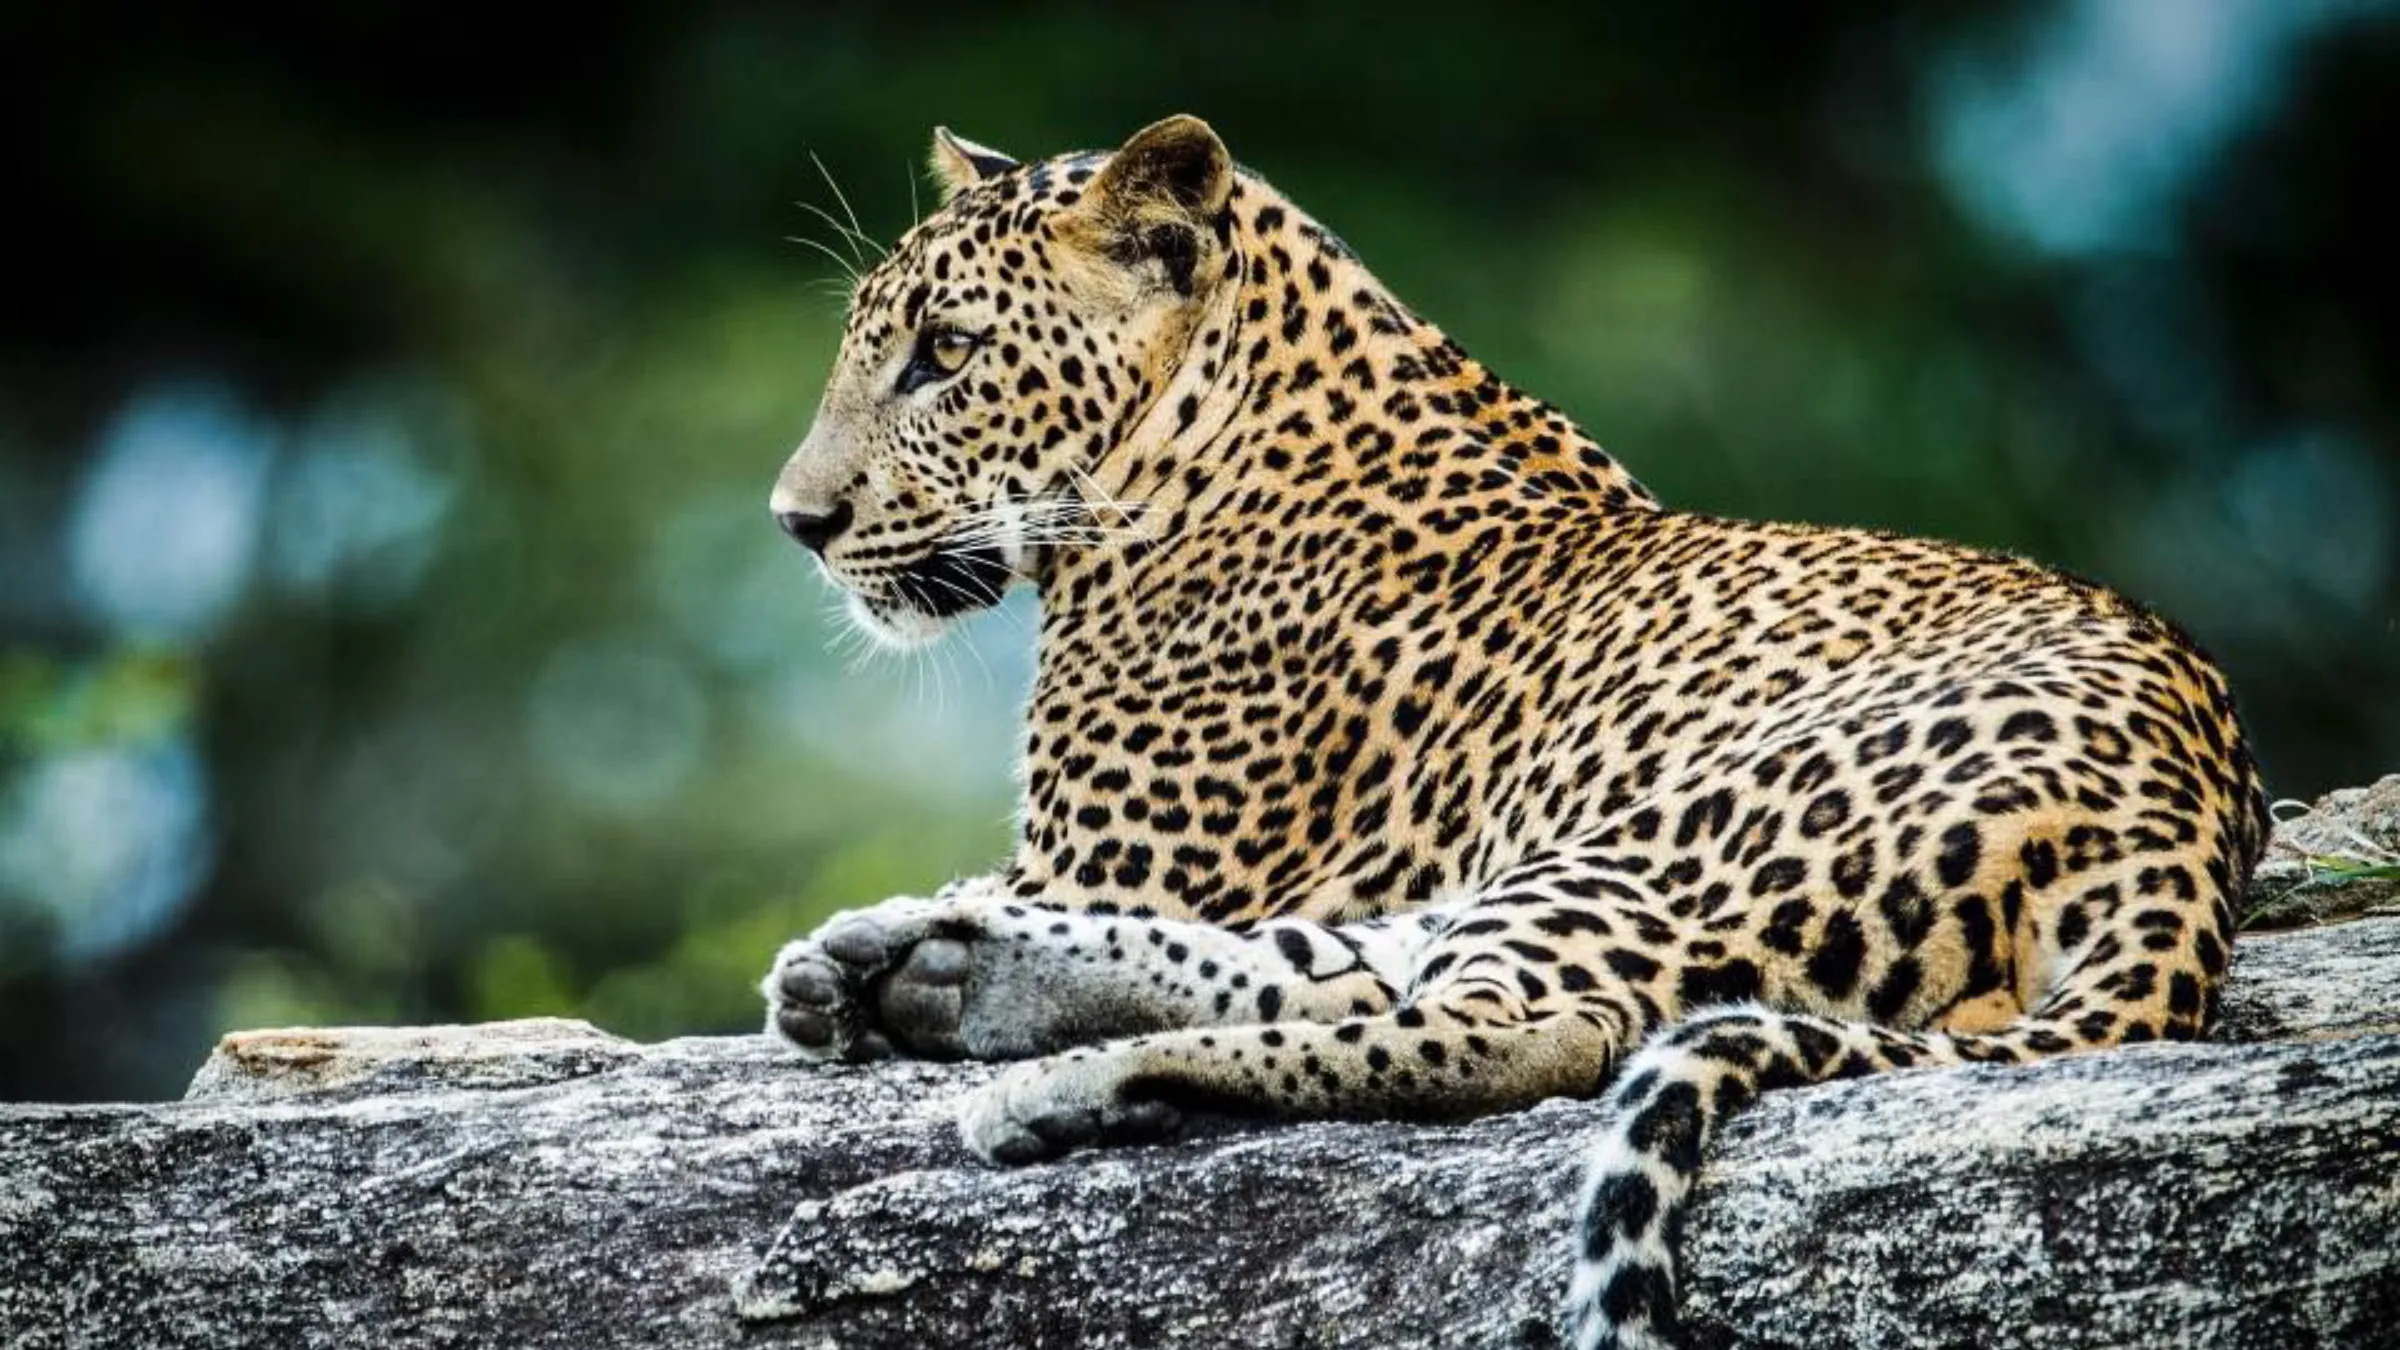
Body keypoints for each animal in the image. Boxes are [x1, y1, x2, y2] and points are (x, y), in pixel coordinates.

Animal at [757, 115, 2268, 1350]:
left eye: (947, 355)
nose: (797, 523)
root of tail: (2190, 839)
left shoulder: (1103, 855)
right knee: (1363, 975)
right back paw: (933, 971)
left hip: (1673, 837)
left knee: (1529, 1032)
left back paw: (1062, 1075)